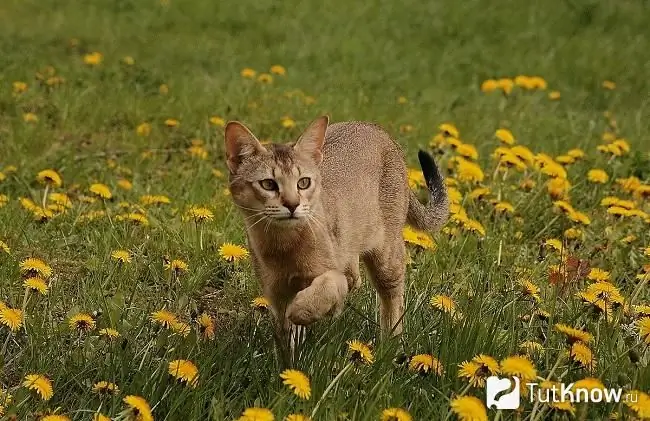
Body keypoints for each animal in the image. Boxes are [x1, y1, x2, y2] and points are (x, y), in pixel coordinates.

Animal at [223, 115, 446, 360]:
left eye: (303, 182)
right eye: (268, 184)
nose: (292, 204)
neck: (285, 246)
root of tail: (377, 129)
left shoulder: (329, 276)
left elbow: (327, 287)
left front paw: (302, 310)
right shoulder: (276, 295)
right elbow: (287, 344)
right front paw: (289, 365)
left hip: (387, 257)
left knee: (391, 297)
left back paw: (390, 346)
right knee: (355, 277)